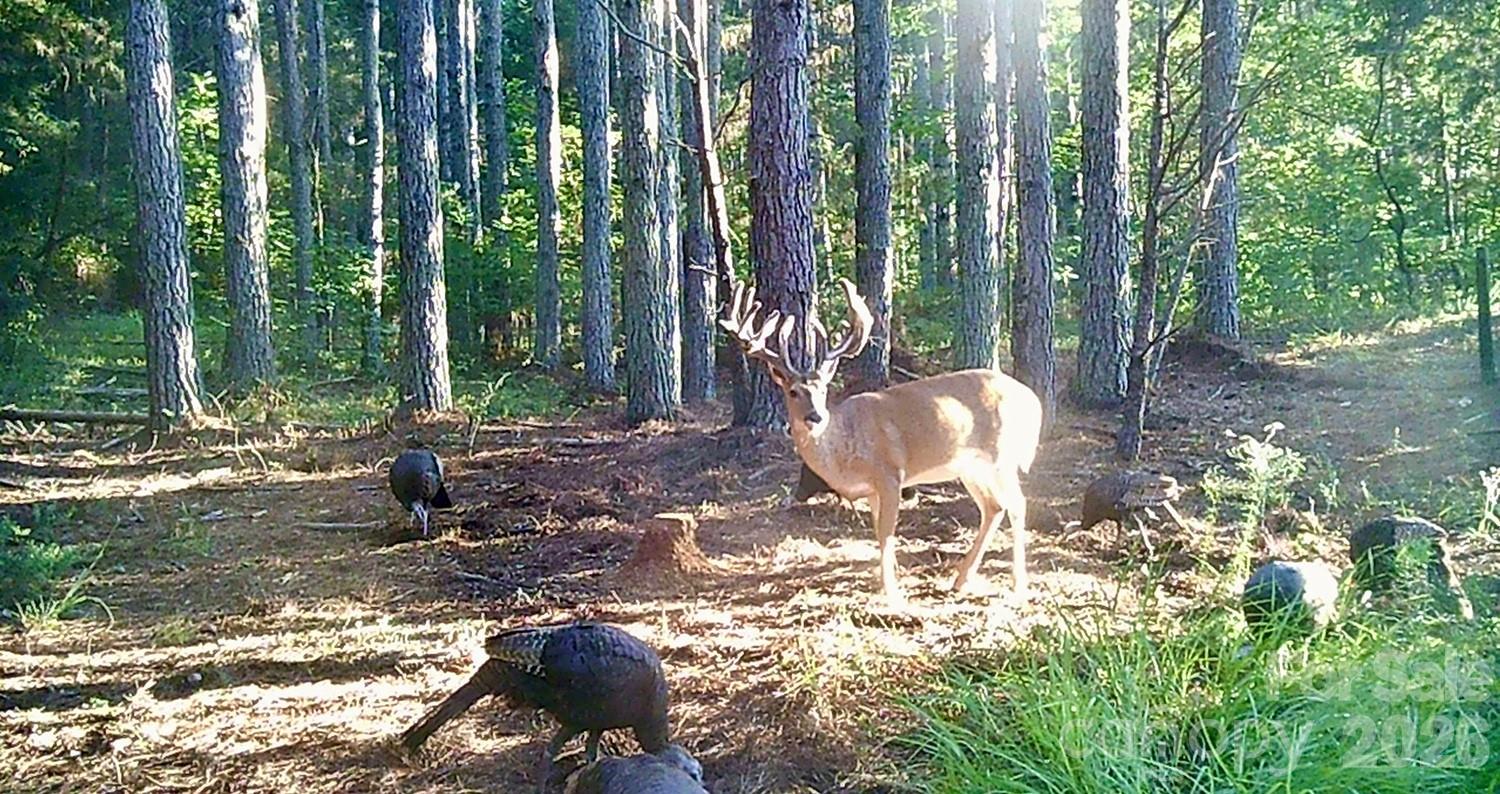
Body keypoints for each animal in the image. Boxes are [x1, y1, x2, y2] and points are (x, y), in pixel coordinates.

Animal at [720, 277, 1044, 605]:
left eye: (823, 389)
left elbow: (886, 533)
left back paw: (1018, 584)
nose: (815, 417)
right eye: (793, 391)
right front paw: (889, 579)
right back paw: (961, 580)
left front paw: (891, 591)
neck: (845, 447)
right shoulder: (871, 490)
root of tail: (1033, 401)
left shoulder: (889, 474)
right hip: (970, 467)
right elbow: (878, 532)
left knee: (1017, 505)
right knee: (994, 507)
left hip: (1001, 457)